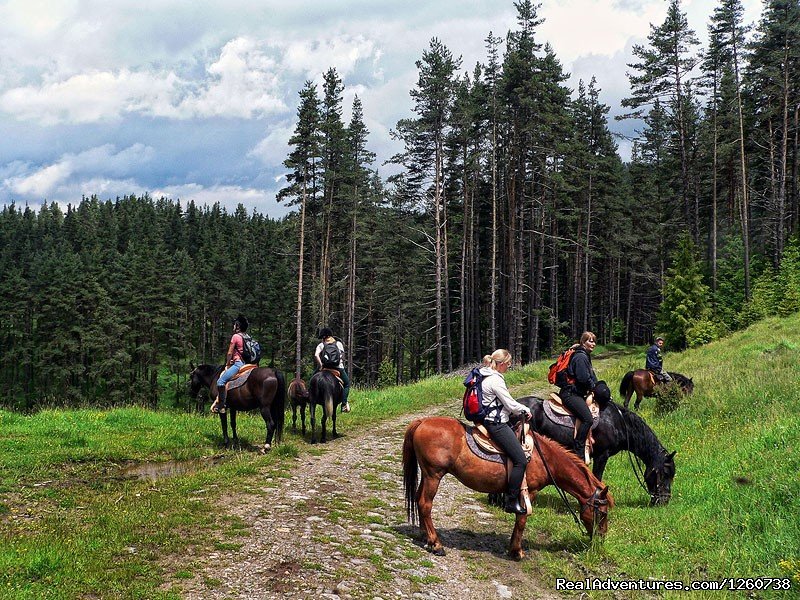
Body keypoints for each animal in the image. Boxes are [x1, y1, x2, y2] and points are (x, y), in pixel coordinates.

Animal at [400, 414, 612, 560]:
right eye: (601, 513)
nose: (601, 539)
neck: (545, 459)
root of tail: (421, 422)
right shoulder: (529, 492)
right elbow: (522, 520)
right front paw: (517, 552)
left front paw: (512, 547)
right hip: (434, 475)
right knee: (425, 503)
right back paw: (436, 544)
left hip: (427, 475)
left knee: (418, 499)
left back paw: (425, 537)